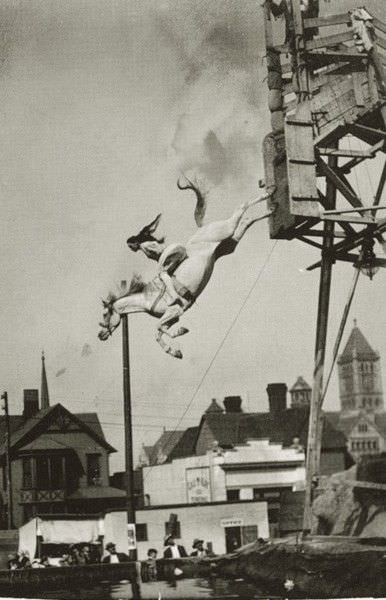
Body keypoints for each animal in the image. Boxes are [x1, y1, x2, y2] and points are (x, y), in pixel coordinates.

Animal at [98, 192, 270, 356]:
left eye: (105, 314)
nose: (100, 335)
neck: (147, 298)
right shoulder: (172, 317)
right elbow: (158, 333)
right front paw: (174, 351)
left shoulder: (174, 311)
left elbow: (158, 326)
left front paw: (180, 331)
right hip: (228, 244)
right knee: (246, 221)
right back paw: (269, 211)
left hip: (224, 229)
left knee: (241, 207)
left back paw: (268, 195)